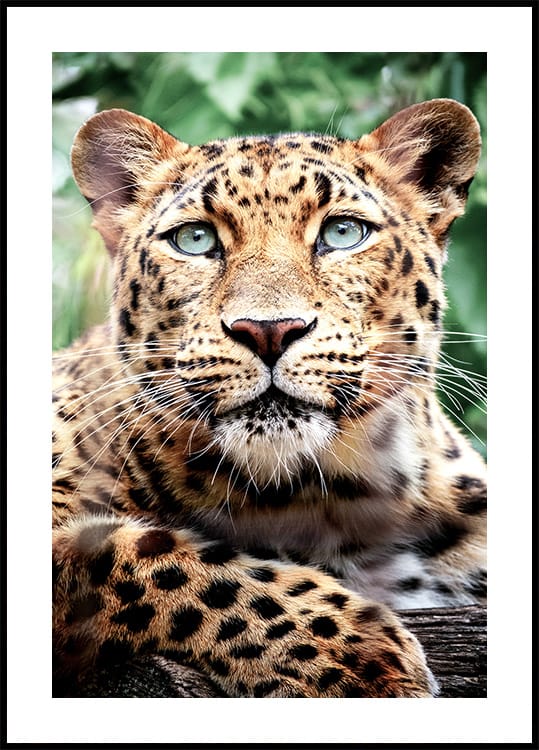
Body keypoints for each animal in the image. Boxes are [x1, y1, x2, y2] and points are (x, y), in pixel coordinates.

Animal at [52, 98, 487, 698]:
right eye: (194, 240)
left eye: (343, 232)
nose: (269, 330)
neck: (330, 497)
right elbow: (158, 558)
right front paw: (359, 660)